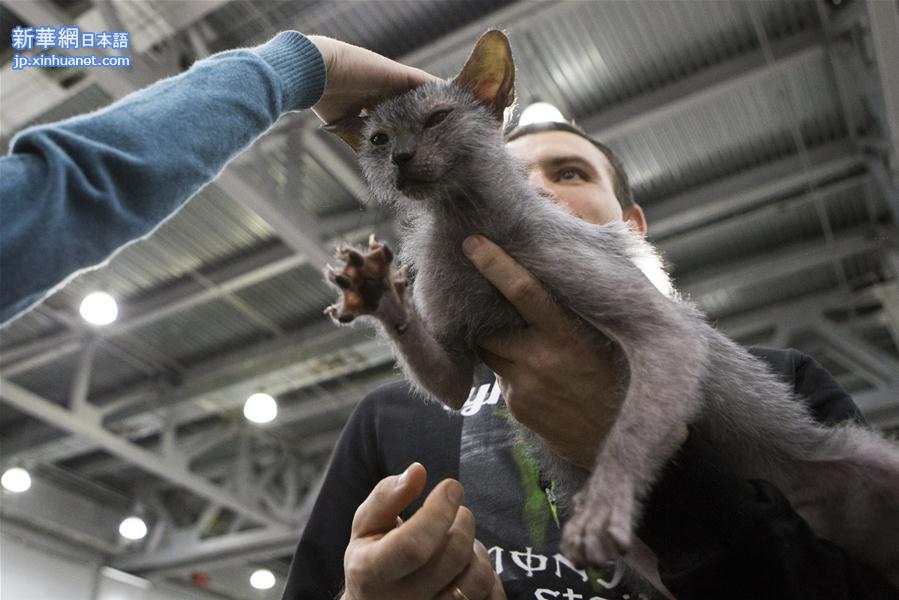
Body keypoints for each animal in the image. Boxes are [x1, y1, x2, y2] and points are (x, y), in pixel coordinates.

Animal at [324, 31, 899, 584]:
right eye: (377, 140)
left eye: (438, 118)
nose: (399, 157)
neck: (466, 220)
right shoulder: (458, 359)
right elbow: (449, 383)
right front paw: (375, 288)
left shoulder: (658, 324)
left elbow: (630, 429)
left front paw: (603, 508)